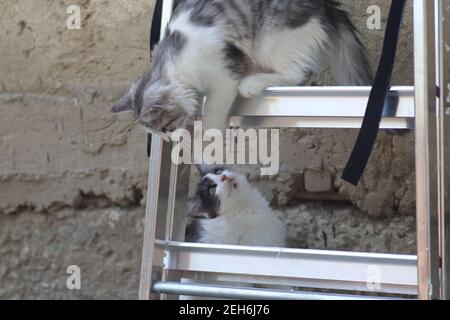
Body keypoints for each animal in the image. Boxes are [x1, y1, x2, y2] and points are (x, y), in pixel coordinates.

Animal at [110, 0, 370, 136]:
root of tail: (327, 6)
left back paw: (252, 84)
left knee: (297, 73)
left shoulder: (224, 75)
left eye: (164, 127)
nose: (168, 139)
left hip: (270, 40)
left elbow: (213, 112)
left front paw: (210, 139)